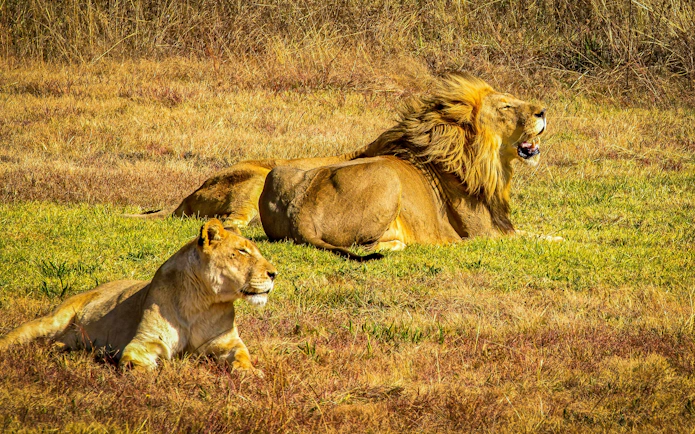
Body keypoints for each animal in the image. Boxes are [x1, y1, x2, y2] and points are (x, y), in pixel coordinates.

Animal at [0, 219, 277, 374]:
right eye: (242, 251)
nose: (274, 273)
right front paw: (147, 372)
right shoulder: (146, 340)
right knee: (17, 335)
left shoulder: (227, 342)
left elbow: (242, 356)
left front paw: (250, 373)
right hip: (53, 319)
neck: (201, 302)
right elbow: (136, 361)